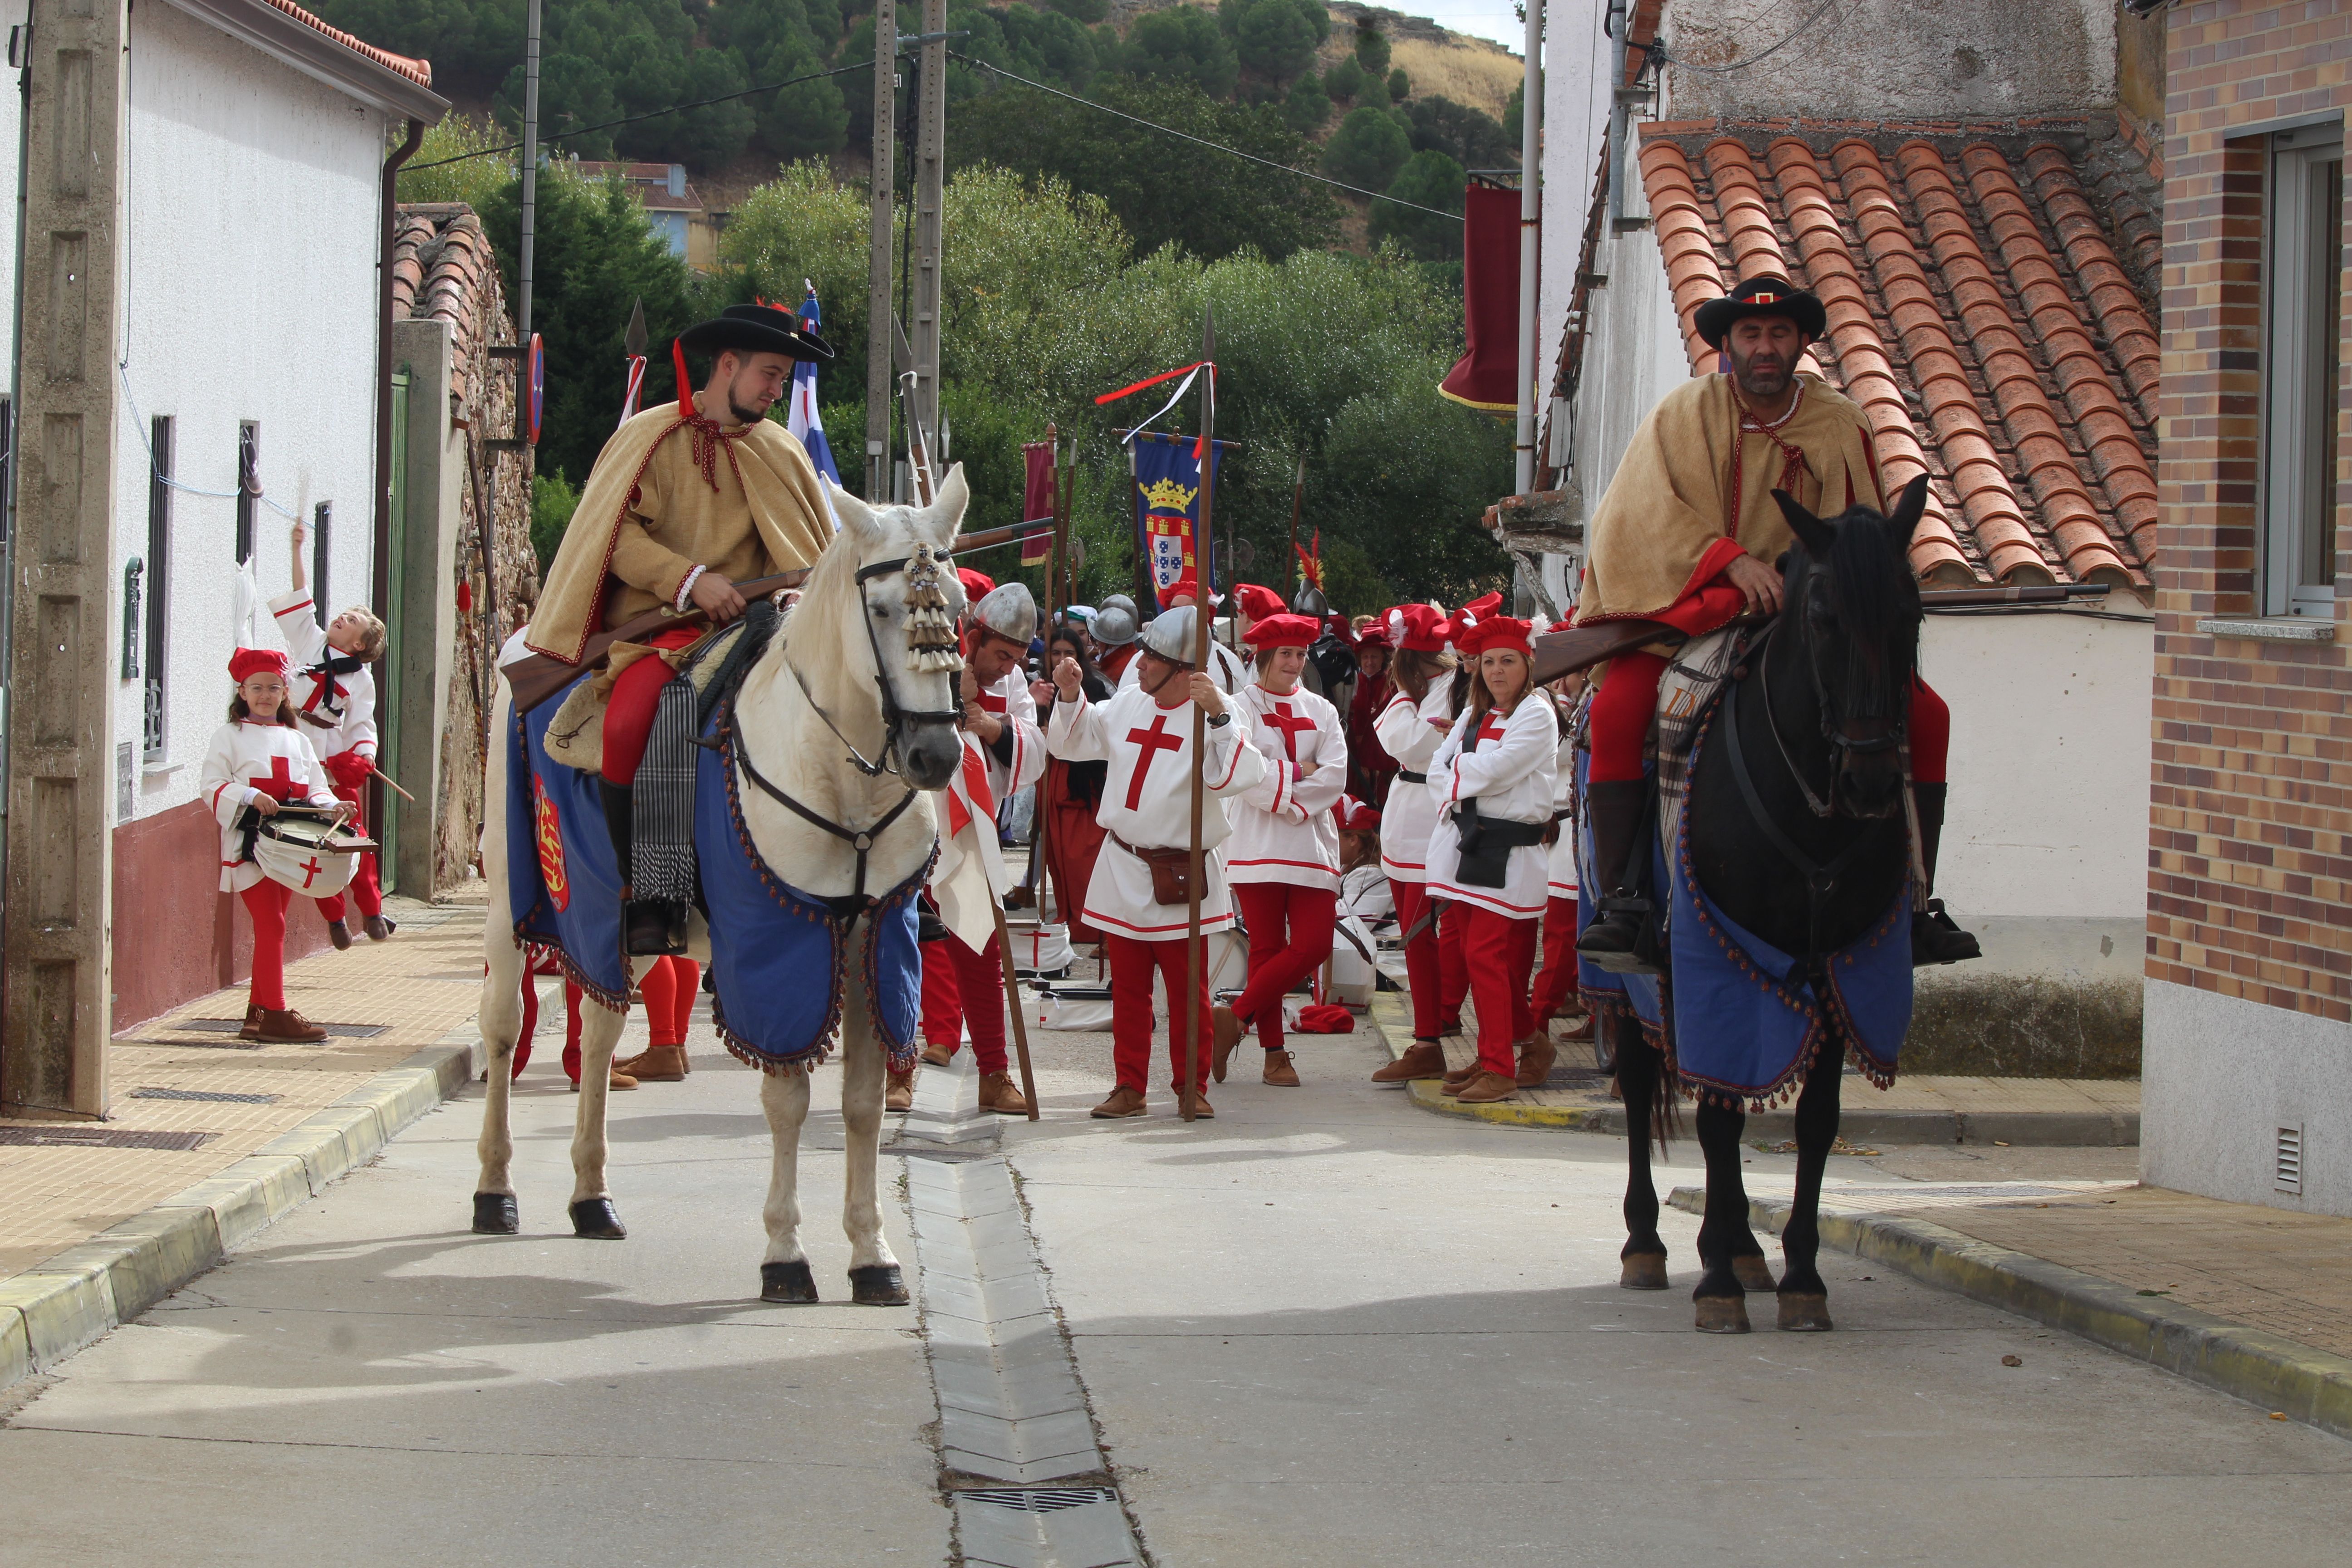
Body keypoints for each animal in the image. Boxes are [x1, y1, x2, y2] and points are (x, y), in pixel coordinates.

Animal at [472, 472, 969, 1307]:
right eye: (880, 608)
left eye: (956, 609)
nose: (935, 754)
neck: (840, 776)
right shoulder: (777, 941)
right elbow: (788, 1098)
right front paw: (785, 1255)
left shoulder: (875, 939)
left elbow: (863, 1105)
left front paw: (872, 1256)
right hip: (514, 897)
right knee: (506, 1031)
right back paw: (495, 1190)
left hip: (623, 922)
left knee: (601, 1032)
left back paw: (592, 1197)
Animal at [1618, 480, 1928, 1335]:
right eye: (1822, 616)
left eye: (1912, 614)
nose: (1869, 781)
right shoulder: (1709, 956)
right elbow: (1719, 1113)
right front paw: (1717, 1283)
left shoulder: (1842, 967)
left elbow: (1814, 1121)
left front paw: (1800, 1278)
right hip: (1621, 972)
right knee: (1638, 1081)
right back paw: (1648, 1243)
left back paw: (1741, 1246)